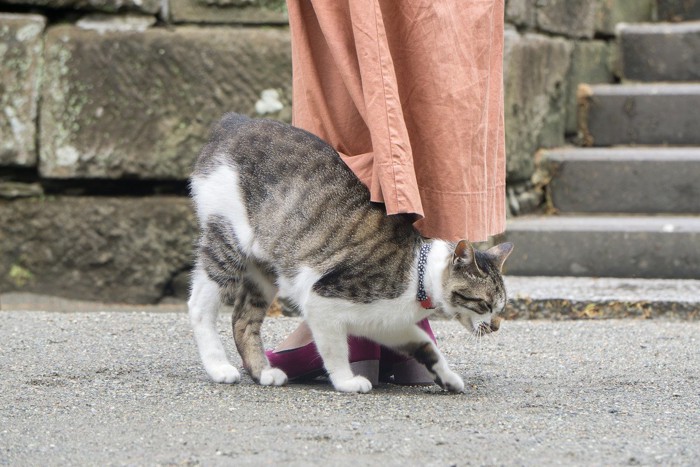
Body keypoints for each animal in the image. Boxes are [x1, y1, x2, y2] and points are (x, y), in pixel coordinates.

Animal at [189, 114, 512, 394]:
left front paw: (447, 377)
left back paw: (263, 372)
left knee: (243, 319)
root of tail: (234, 122)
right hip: (228, 239)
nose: (497, 326)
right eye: (485, 304)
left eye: (501, 306)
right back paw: (218, 367)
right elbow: (335, 349)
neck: (417, 275)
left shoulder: (386, 323)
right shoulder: (321, 300)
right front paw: (346, 380)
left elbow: (426, 345)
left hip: (265, 267)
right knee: (199, 304)